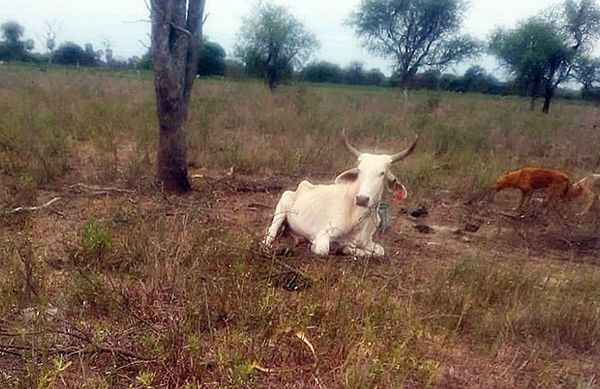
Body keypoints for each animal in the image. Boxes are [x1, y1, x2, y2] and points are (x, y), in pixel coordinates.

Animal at [262, 129, 418, 256]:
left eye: (382, 173)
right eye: (359, 171)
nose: (362, 199)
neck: (361, 219)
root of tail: (302, 186)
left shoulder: (368, 242)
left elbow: (380, 251)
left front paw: (344, 248)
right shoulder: (323, 235)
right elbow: (324, 249)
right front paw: (339, 247)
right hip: (282, 207)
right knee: (271, 232)